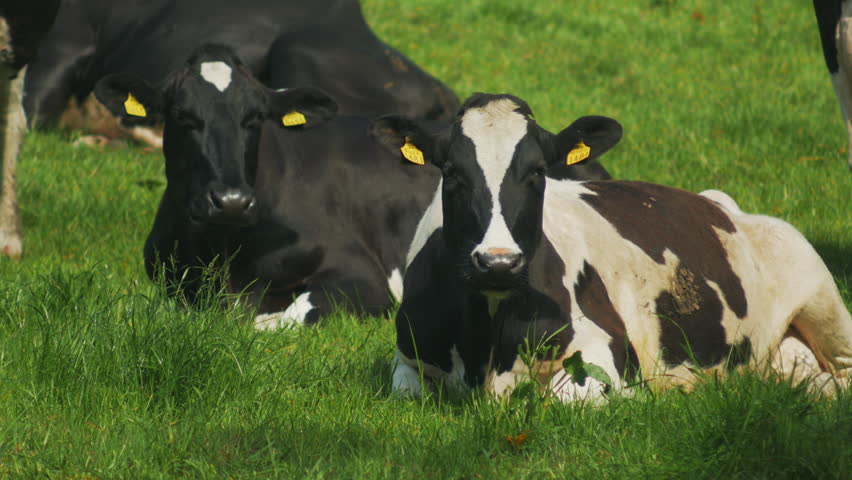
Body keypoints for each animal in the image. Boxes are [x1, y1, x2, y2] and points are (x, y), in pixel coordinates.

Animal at [374, 93, 852, 402]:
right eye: (452, 172)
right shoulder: (406, 360)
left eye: (538, 171)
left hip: (823, 299)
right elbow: (408, 394)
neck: (489, 351)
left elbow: (570, 397)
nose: (498, 262)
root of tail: (721, 202)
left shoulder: (608, 349)